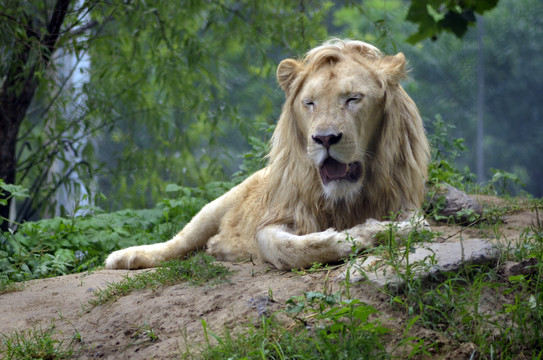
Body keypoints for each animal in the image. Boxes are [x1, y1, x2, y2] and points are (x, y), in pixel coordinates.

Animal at [105, 39, 430, 270]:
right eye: (309, 103)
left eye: (352, 99)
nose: (325, 138)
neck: (345, 198)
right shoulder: (278, 214)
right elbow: (283, 246)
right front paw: (343, 238)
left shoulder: (408, 206)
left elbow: (412, 228)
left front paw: (367, 230)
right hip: (217, 204)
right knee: (178, 242)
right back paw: (124, 257)